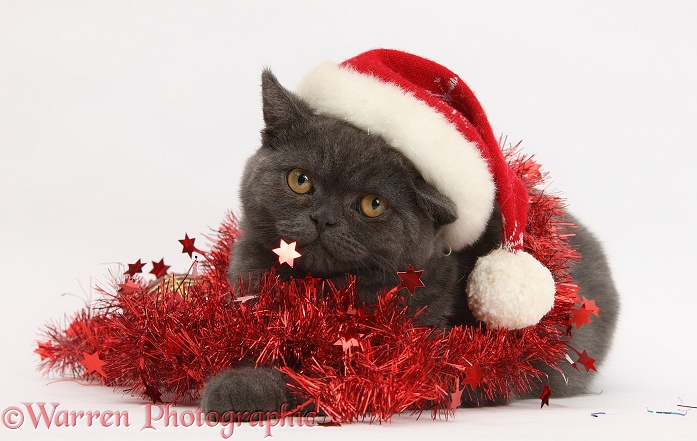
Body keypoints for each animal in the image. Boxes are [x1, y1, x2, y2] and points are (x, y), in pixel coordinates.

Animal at [201, 70, 620, 418]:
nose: (323, 218)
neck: (317, 295)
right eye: (300, 180)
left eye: (373, 205)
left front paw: (238, 387)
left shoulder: (399, 360)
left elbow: (318, 379)